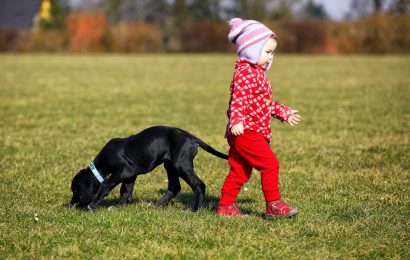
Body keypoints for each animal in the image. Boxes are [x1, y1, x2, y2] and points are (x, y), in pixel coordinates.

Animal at [71, 125, 229, 211]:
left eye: (75, 190)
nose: (71, 205)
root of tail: (191, 137)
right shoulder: (130, 175)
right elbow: (125, 190)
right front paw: (120, 206)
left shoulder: (124, 171)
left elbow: (106, 184)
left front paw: (92, 205)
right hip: (170, 165)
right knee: (174, 186)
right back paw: (157, 204)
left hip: (180, 164)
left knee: (199, 185)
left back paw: (194, 209)